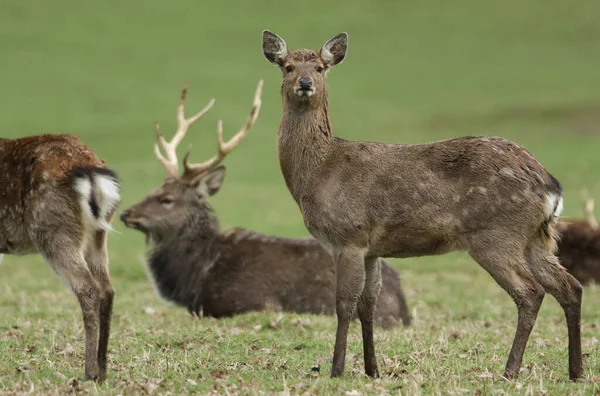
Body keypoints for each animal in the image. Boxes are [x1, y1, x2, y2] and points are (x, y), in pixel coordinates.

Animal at [0, 135, 120, 380]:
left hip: (54, 231)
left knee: (88, 288)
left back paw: (90, 372)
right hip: (98, 235)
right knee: (107, 289)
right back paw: (103, 369)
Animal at [120, 81, 412, 328]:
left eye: (166, 199)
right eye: (152, 190)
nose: (125, 213)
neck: (197, 274)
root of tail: (404, 304)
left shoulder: (258, 302)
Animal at [262, 30, 580, 380]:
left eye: (320, 68)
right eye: (288, 66)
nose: (305, 82)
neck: (319, 173)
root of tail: (550, 186)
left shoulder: (348, 235)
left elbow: (344, 304)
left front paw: (337, 369)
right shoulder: (371, 248)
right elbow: (368, 305)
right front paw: (372, 370)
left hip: (496, 235)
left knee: (531, 292)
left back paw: (510, 371)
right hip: (537, 238)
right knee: (570, 286)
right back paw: (575, 371)